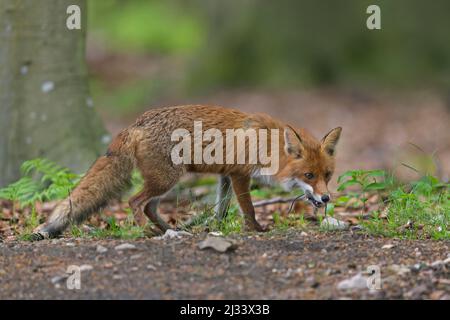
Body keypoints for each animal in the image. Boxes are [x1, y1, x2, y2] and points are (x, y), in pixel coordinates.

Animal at [32, 105, 342, 240]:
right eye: (309, 176)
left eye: (327, 175)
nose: (326, 199)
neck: (267, 146)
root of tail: (135, 124)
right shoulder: (240, 175)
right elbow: (248, 207)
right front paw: (256, 229)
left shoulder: (225, 175)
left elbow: (221, 209)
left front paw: (216, 228)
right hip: (166, 179)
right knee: (135, 201)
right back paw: (147, 232)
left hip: (165, 182)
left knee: (149, 207)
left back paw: (170, 229)